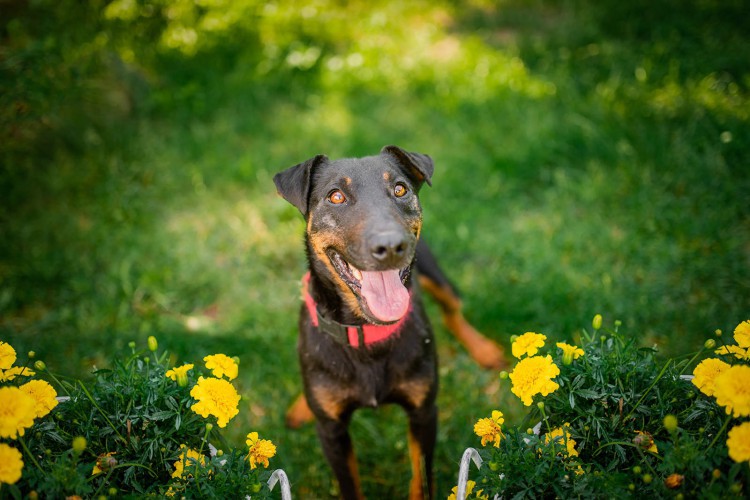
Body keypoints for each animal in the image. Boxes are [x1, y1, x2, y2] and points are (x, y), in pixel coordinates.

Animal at [274, 146, 506, 498]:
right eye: (336, 196)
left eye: (400, 189)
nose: (391, 246)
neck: (366, 333)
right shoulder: (332, 432)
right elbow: (349, 485)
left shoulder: (424, 412)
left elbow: (421, 476)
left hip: (434, 272)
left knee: (452, 309)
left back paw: (483, 349)